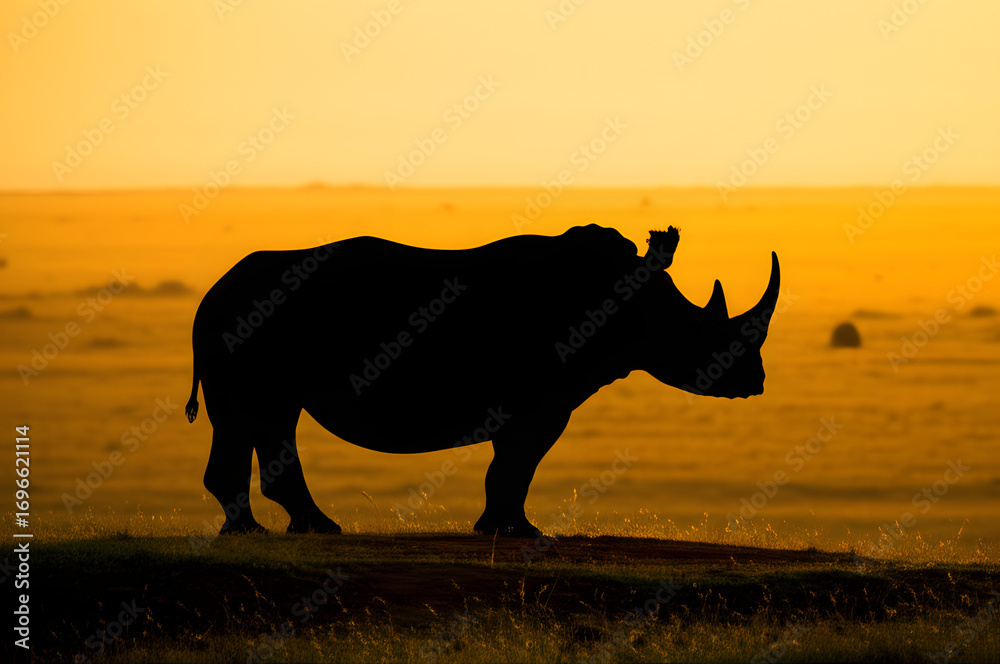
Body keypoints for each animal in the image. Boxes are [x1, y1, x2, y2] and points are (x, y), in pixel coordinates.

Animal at [185, 224, 779, 537]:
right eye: (699, 330)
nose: (754, 381)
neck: (635, 305)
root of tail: (212, 292)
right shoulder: (542, 399)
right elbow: (517, 463)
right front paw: (513, 531)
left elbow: (511, 464)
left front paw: (499, 529)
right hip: (247, 323)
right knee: (260, 416)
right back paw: (289, 530)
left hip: (243, 325)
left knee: (256, 418)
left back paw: (281, 530)